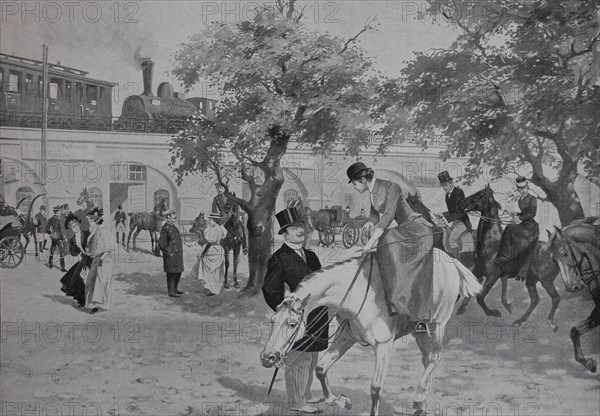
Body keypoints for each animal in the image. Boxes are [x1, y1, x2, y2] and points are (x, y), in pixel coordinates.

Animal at [260, 250, 480, 416]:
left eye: (292, 324)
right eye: (272, 320)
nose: (267, 358)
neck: (355, 293)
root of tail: (450, 260)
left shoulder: (383, 345)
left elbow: (375, 388)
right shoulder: (345, 338)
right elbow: (320, 369)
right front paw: (341, 401)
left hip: (437, 326)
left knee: (435, 358)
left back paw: (418, 400)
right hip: (420, 332)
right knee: (427, 360)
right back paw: (422, 405)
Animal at [548, 219, 600, 372]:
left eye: (565, 254)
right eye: (554, 260)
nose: (572, 287)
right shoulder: (598, 311)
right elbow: (574, 331)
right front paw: (589, 363)